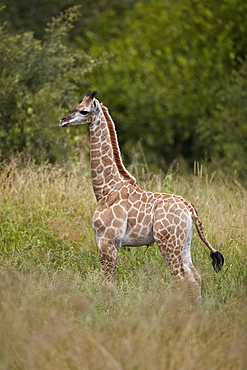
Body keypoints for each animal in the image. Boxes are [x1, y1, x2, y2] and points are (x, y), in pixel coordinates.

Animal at [59, 92, 224, 304]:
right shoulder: (109, 243)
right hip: (184, 242)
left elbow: (107, 284)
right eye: (77, 105)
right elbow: (110, 282)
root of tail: (190, 209)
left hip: (168, 242)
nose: (63, 120)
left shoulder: (107, 241)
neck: (106, 188)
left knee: (180, 279)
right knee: (194, 277)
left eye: (84, 111)